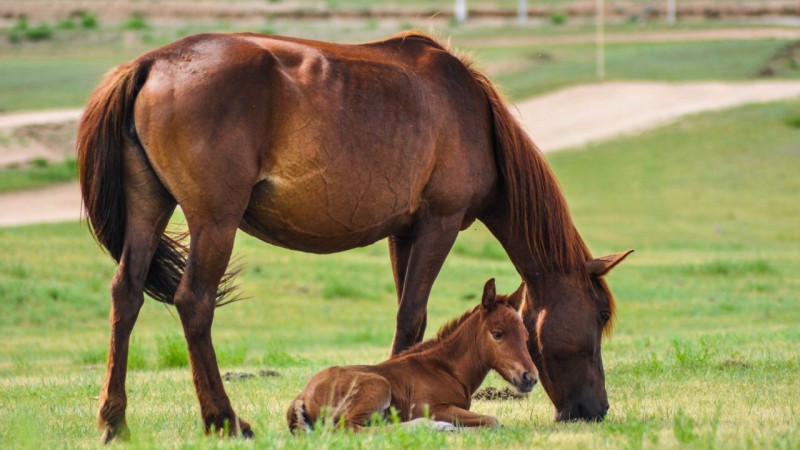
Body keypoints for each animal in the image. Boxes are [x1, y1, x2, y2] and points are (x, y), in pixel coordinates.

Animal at [286, 278, 536, 432]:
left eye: (525, 335)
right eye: (497, 334)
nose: (530, 378)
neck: (446, 369)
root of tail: (302, 395)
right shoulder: (431, 407)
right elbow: (492, 420)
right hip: (378, 386)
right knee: (349, 429)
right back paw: (434, 427)